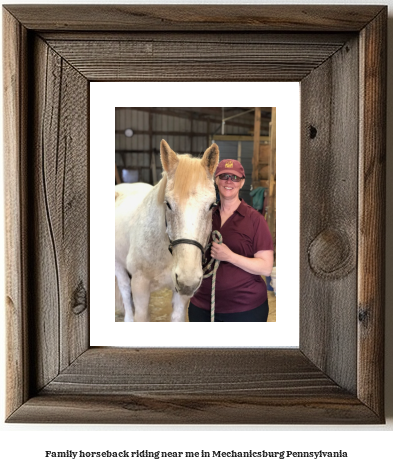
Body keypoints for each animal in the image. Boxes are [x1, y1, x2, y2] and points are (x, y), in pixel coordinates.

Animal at [115, 138, 219, 322]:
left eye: (212, 206)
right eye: (168, 204)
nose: (188, 281)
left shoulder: (181, 296)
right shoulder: (140, 286)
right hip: (118, 265)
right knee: (125, 290)